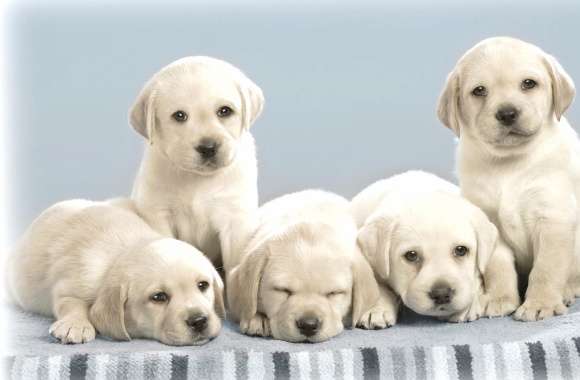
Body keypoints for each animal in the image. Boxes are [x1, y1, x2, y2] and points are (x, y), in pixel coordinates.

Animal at [6, 200, 224, 346]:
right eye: (158, 297)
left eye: (203, 285)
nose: (199, 321)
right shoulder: (73, 283)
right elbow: (70, 303)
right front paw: (75, 325)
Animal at [130, 55, 264, 272]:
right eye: (179, 115)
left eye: (225, 111)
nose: (208, 147)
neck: (198, 180)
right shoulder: (158, 213)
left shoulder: (236, 220)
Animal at [348, 171, 508, 322]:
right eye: (411, 255)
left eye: (461, 250)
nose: (442, 294)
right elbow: (377, 286)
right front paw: (376, 309)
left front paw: (467, 307)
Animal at [440, 36, 580, 320]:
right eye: (479, 90)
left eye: (528, 83)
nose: (507, 113)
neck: (509, 164)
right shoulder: (489, 225)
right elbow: (499, 266)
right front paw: (500, 299)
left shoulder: (554, 218)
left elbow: (546, 269)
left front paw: (540, 303)